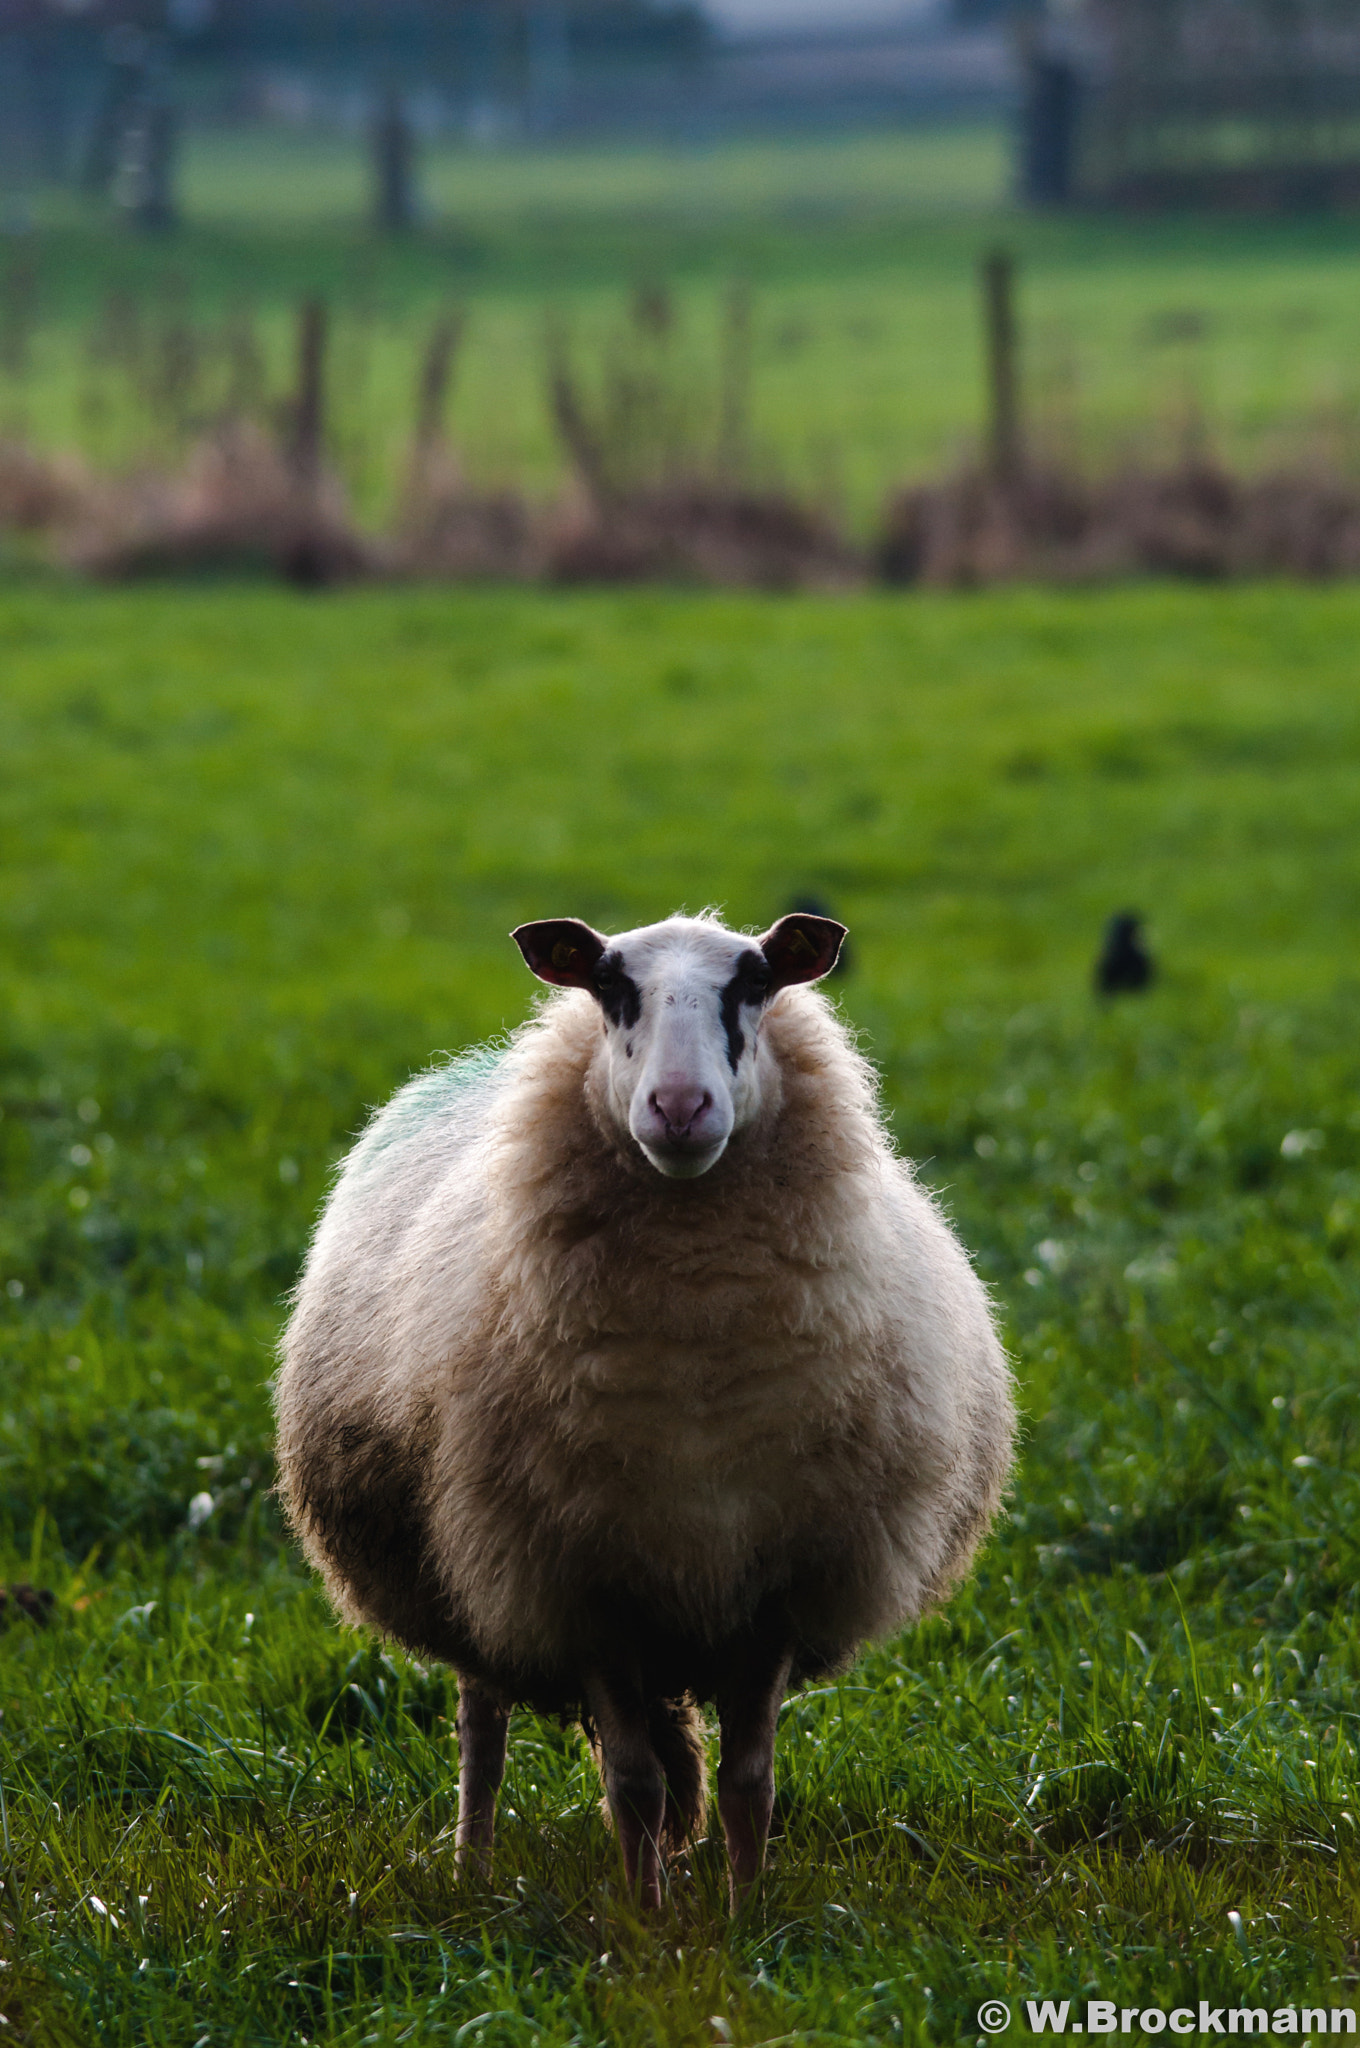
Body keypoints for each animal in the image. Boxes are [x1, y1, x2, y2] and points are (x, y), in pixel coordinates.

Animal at [274, 910, 1014, 1910]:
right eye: (608, 987)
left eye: (755, 982)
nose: (679, 1108)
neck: (694, 1358)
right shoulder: (580, 1587)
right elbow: (630, 1780)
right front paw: (647, 1922)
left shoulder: (773, 1587)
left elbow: (747, 1781)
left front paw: (746, 1913)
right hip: (472, 1577)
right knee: (482, 1731)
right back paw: (473, 1868)